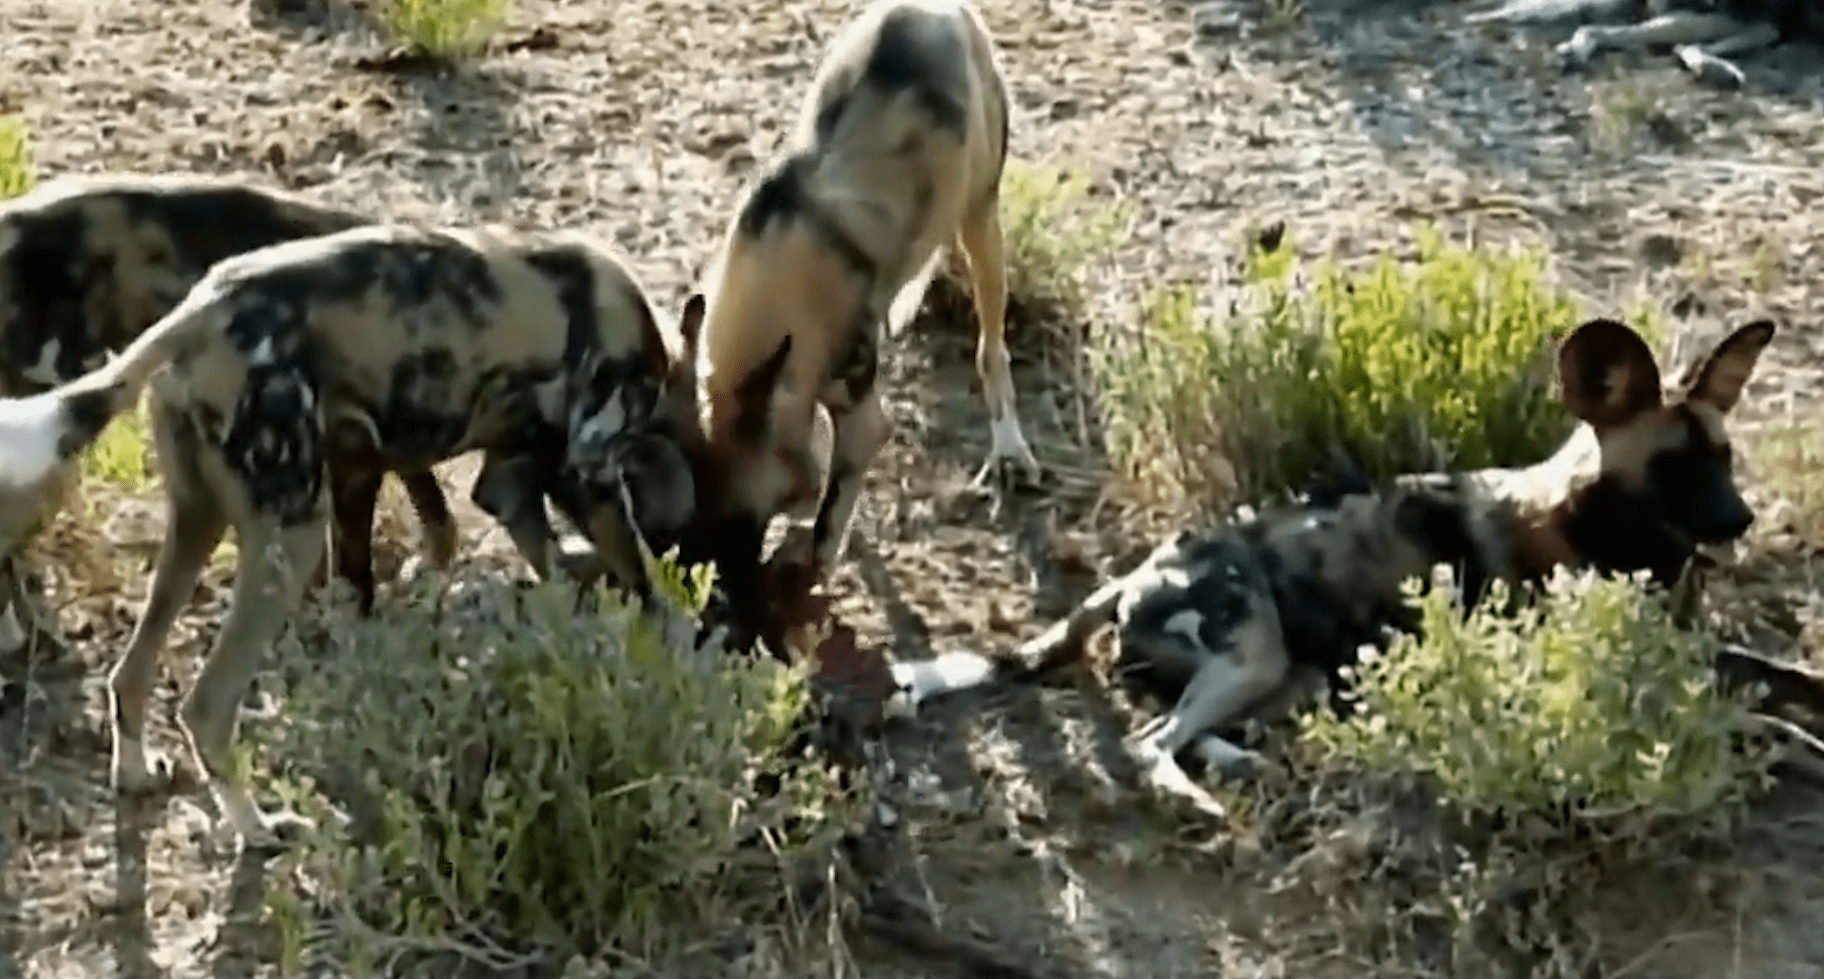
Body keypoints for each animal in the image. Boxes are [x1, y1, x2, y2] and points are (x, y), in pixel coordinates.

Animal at [0, 225, 696, 849]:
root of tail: (205, 307)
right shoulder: (589, 471)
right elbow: (643, 586)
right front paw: (661, 662)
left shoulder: (476, 478)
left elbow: (543, 560)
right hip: (291, 534)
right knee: (206, 705)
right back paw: (258, 830)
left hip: (199, 518)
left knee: (130, 673)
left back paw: (137, 774)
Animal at [674, 0, 1043, 601]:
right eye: (694, 513)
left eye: (742, 516)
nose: (723, 589)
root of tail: (941, 10)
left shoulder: (859, 416)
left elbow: (829, 521)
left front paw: (808, 576)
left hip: (980, 223)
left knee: (992, 348)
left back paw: (1009, 448)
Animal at [897, 317, 1780, 813]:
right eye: (1672, 467)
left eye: (1726, 458)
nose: (1741, 518)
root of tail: (1139, 567)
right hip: (1253, 654)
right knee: (1149, 743)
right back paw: (1198, 802)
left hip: (1291, 675)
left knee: (1184, 727)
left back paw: (1240, 762)